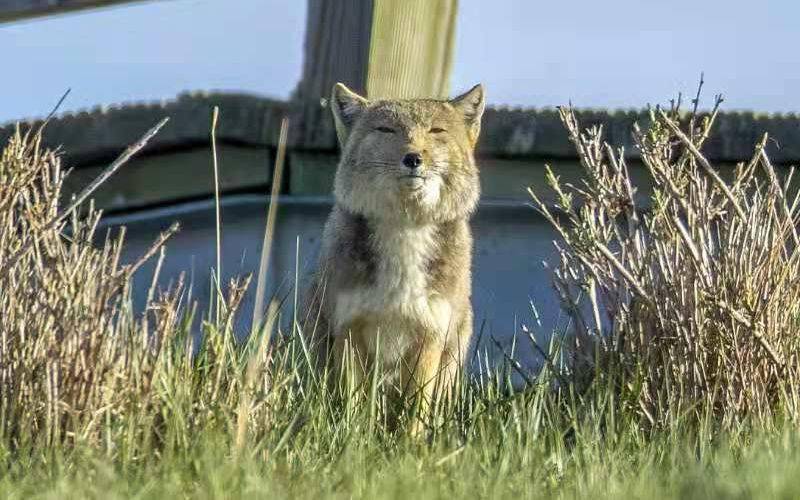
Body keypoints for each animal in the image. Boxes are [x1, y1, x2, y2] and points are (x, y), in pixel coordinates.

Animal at [304, 82, 484, 434]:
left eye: (436, 131)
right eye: (386, 130)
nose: (413, 158)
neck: (404, 231)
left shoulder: (429, 337)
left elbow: (415, 413)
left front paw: (409, 445)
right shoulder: (350, 331)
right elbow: (356, 407)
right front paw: (355, 438)